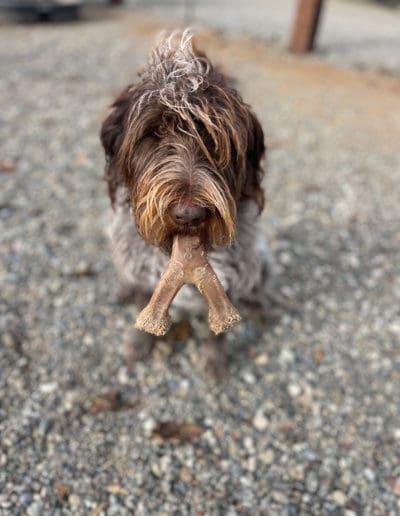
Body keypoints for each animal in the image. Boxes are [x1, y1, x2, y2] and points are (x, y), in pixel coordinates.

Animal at [101, 32, 274, 378]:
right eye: (156, 131)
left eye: (216, 140)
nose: (189, 215)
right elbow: (144, 301)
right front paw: (138, 343)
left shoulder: (231, 274)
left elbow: (218, 326)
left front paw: (214, 360)